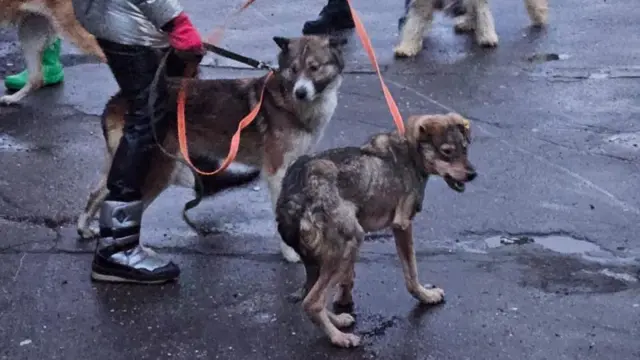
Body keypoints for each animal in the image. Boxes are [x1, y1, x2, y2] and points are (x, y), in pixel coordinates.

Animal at [77, 35, 348, 262]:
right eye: (293, 69)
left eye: (314, 68)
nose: (300, 92)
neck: (288, 100)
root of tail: (120, 99)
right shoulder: (276, 171)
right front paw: (290, 253)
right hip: (158, 170)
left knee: (98, 192)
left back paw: (84, 228)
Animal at [276, 113, 476, 348]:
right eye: (447, 151)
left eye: (465, 148)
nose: (473, 174)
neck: (412, 150)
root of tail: (293, 197)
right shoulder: (402, 225)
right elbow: (412, 273)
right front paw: (426, 296)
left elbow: (348, 279)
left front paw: (344, 300)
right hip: (350, 242)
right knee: (311, 302)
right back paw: (339, 337)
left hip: (320, 257)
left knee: (311, 293)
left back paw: (338, 320)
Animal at [392, 0, 548, 57]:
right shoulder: (422, 4)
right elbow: (414, 24)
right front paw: (407, 47)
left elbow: (483, 13)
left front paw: (487, 37)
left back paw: (539, 15)